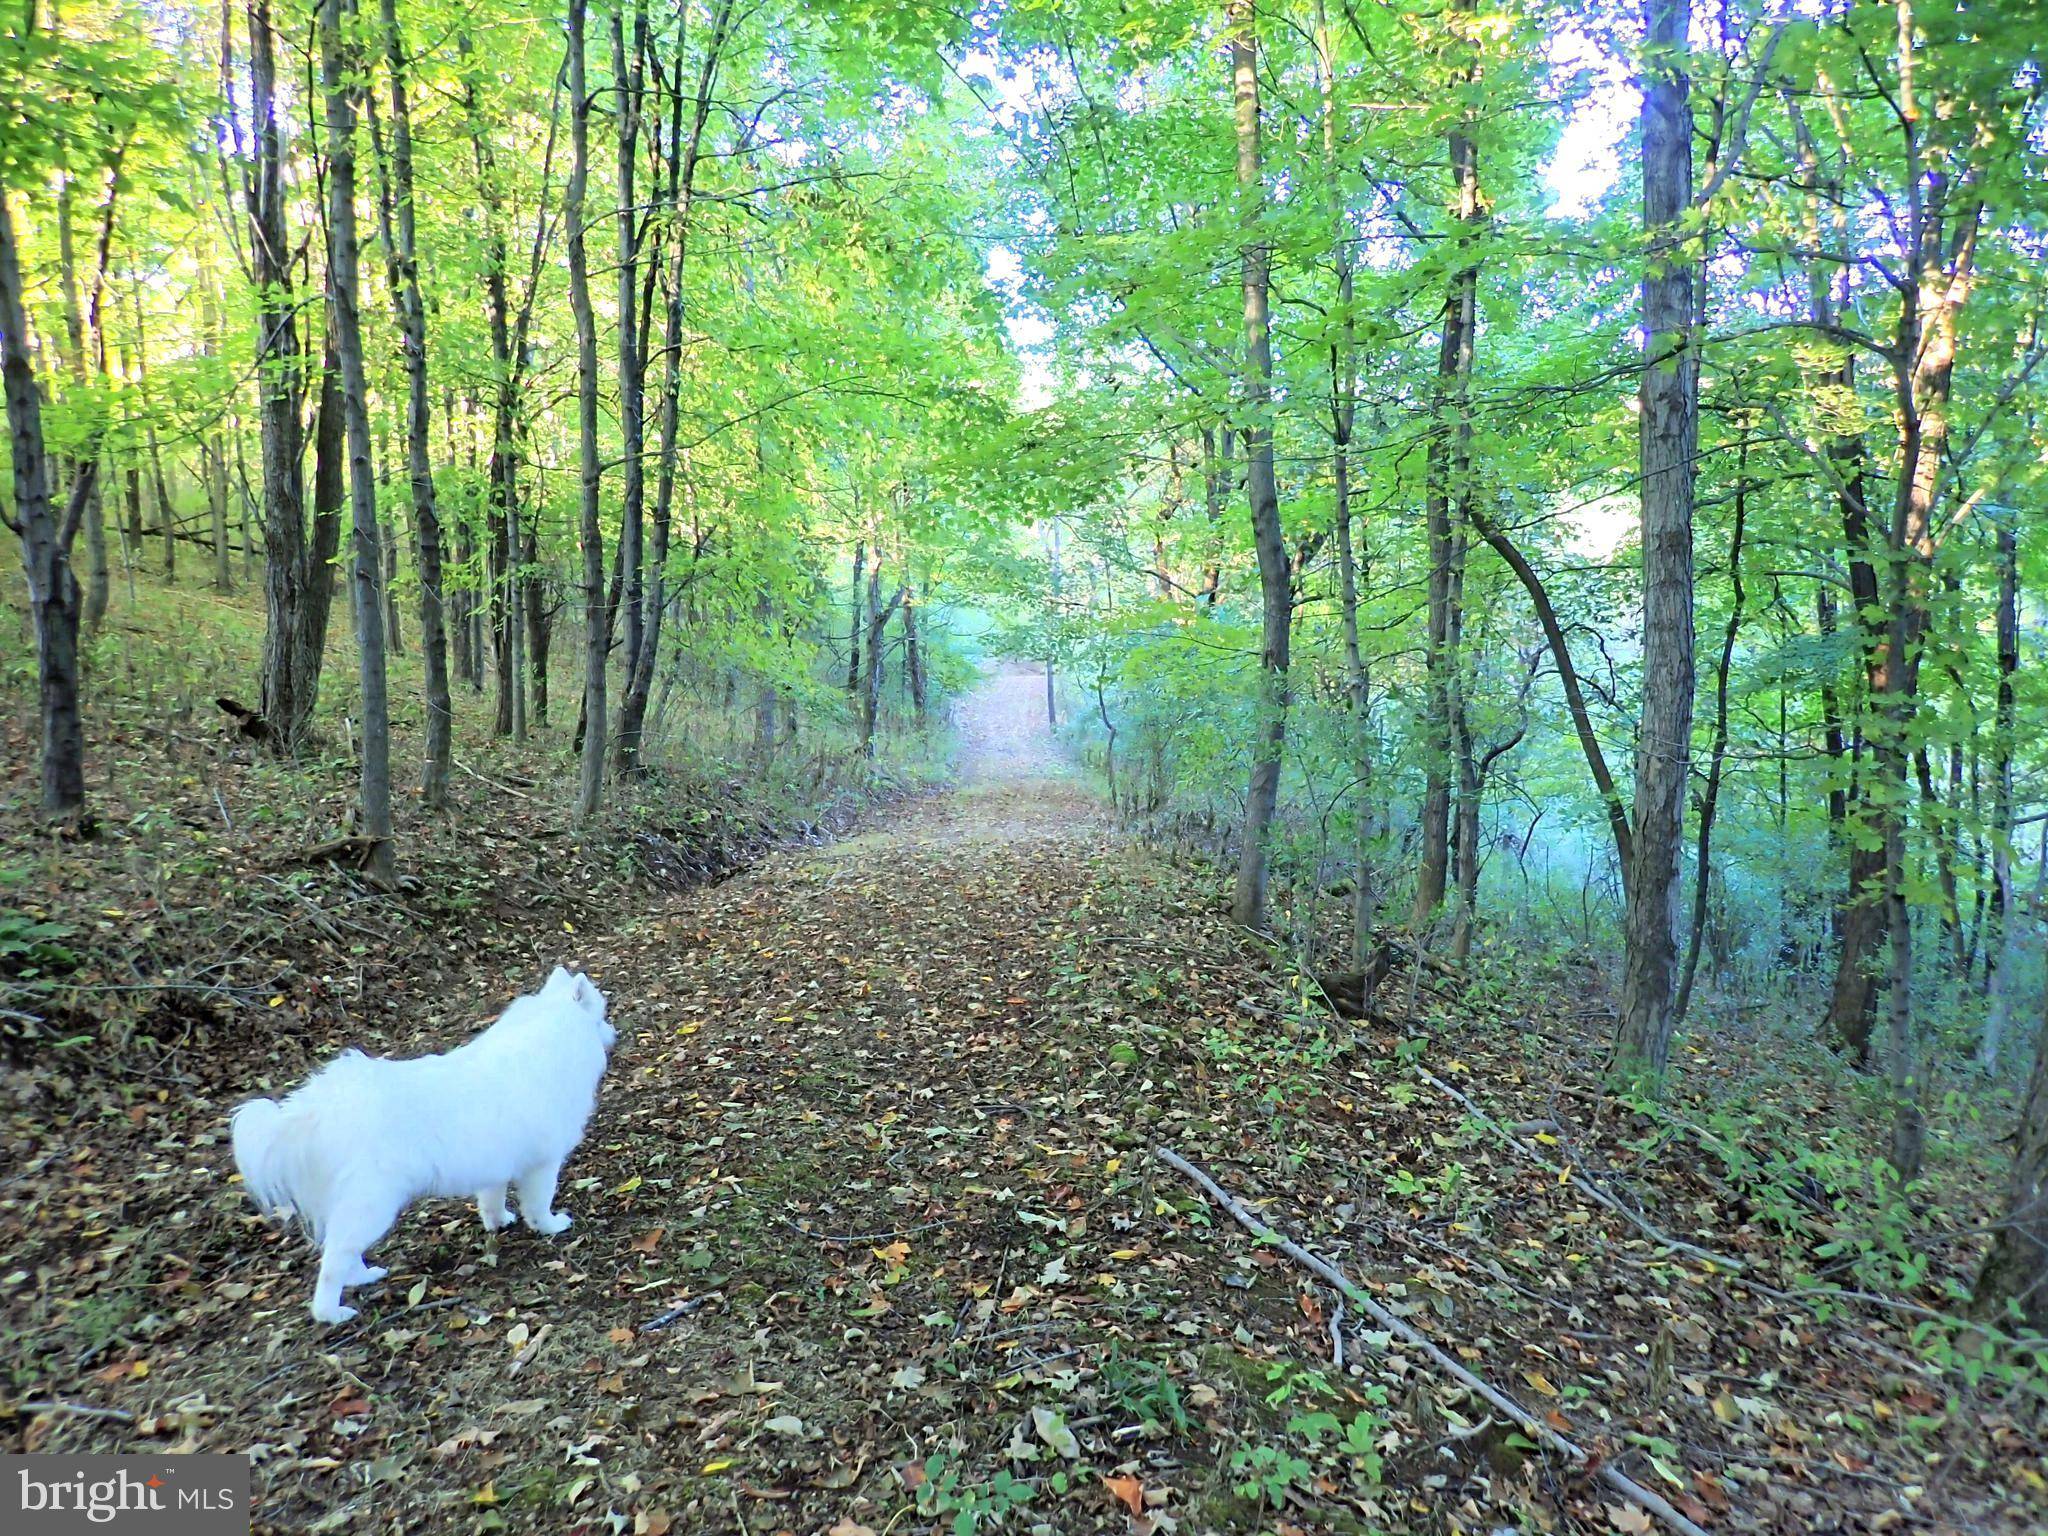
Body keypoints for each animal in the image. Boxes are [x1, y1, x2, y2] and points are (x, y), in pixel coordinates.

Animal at [232, 974, 614, 1327]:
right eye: (602, 1017)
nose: (615, 1032)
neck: (550, 1036)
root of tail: (320, 1111)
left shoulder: (494, 1166)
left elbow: (491, 1201)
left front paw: (499, 1222)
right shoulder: (543, 1165)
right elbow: (538, 1205)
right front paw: (551, 1226)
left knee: (342, 1252)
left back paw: (364, 1276)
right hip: (372, 1204)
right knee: (334, 1260)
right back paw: (332, 1313)